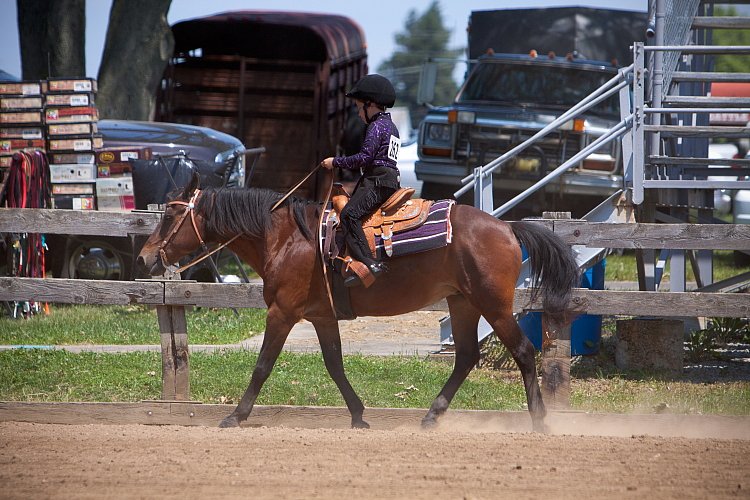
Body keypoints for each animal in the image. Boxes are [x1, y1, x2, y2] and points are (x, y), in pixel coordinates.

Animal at [137, 174, 580, 432]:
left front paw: (235, 415)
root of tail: (507, 227)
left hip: (494, 306)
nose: (144, 258)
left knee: (522, 350)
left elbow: (263, 365)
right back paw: (431, 415)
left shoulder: (282, 313)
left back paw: (540, 421)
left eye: (170, 216)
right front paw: (358, 414)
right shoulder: (321, 316)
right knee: (467, 355)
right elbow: (335, 364)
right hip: (463, 303)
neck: (285, 238)